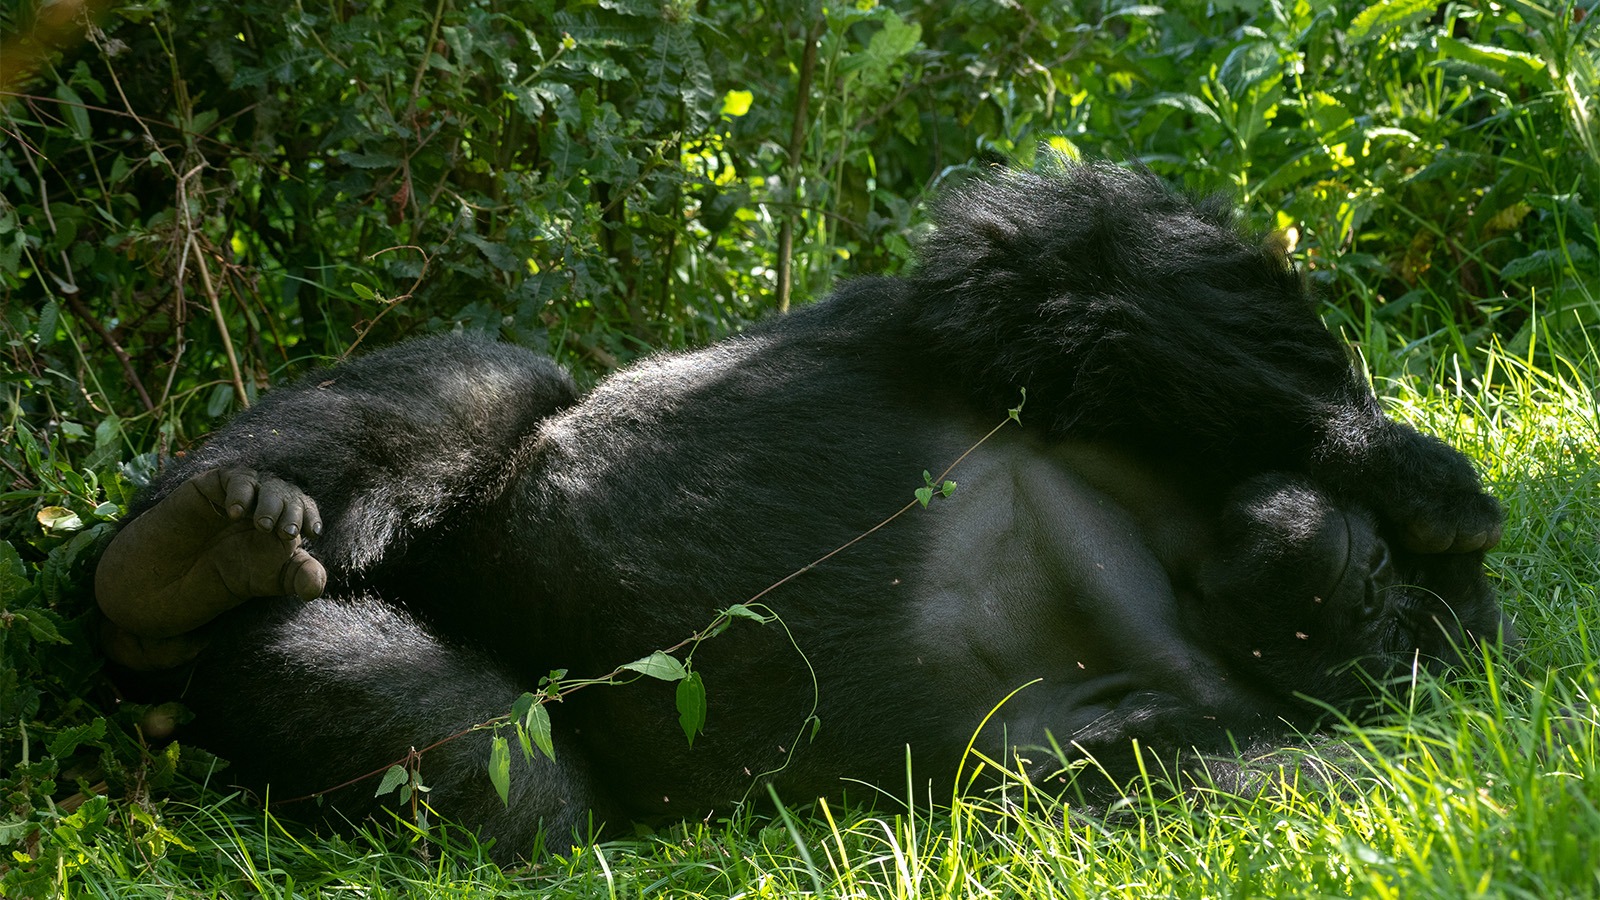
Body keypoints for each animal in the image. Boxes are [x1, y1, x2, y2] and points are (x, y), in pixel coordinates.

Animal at [93, 162, 1504, 864]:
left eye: (1392, 623)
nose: (1375, 591)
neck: (1189, 561)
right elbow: (1081, 263)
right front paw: (1403, 471)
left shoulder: (1206, 723)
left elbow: (1268, 785)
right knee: (488, 389)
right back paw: (172, 563)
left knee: (498, 771)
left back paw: (184, 627)